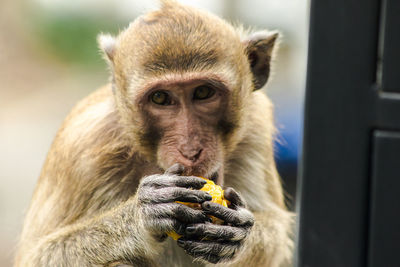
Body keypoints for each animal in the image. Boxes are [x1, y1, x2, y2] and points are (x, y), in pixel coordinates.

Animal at [14, 1, 294, 266]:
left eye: (203, 92)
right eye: (160, 98)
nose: (189, 150)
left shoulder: (256, 126)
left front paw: (239, 231)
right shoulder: (84, 146)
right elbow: (37, 256)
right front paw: (144, 213)